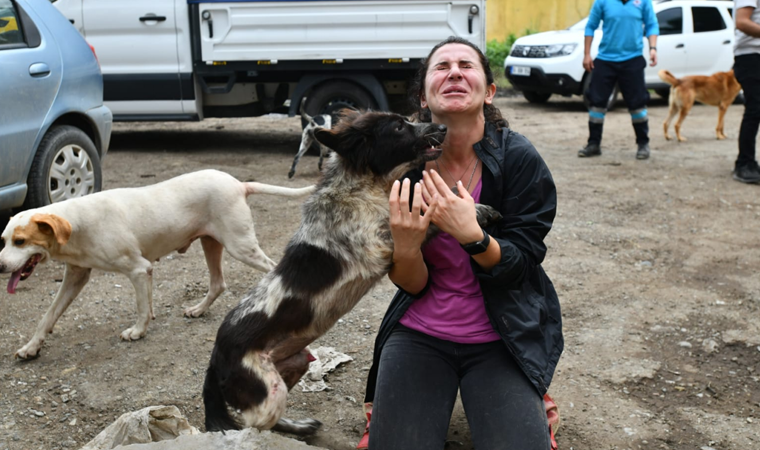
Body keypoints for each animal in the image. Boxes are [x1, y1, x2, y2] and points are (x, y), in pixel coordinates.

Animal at [0, 169, 314, 358]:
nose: (1, 267)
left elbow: (140, 308)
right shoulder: (75, 277)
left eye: (20, 241)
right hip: (210, 243)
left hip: (241, 247)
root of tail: (238, 184)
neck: (77, 224)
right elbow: (48, 316)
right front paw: (31, 347)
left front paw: (137, 332)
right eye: (3, 240)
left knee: (272, 270)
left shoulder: (138, 269)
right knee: (218, 283)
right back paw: (198, 310)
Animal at [200, 109, 504, 436]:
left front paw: (471, 204)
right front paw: (471, 211)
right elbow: (429, 212)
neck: (361, 188)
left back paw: (300, 425)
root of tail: (215, 359)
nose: (443, 127)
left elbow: (427, 204)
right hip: (268, 390)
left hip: (297, 362)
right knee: (256, 426)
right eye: (399, 127)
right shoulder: (381, 245)